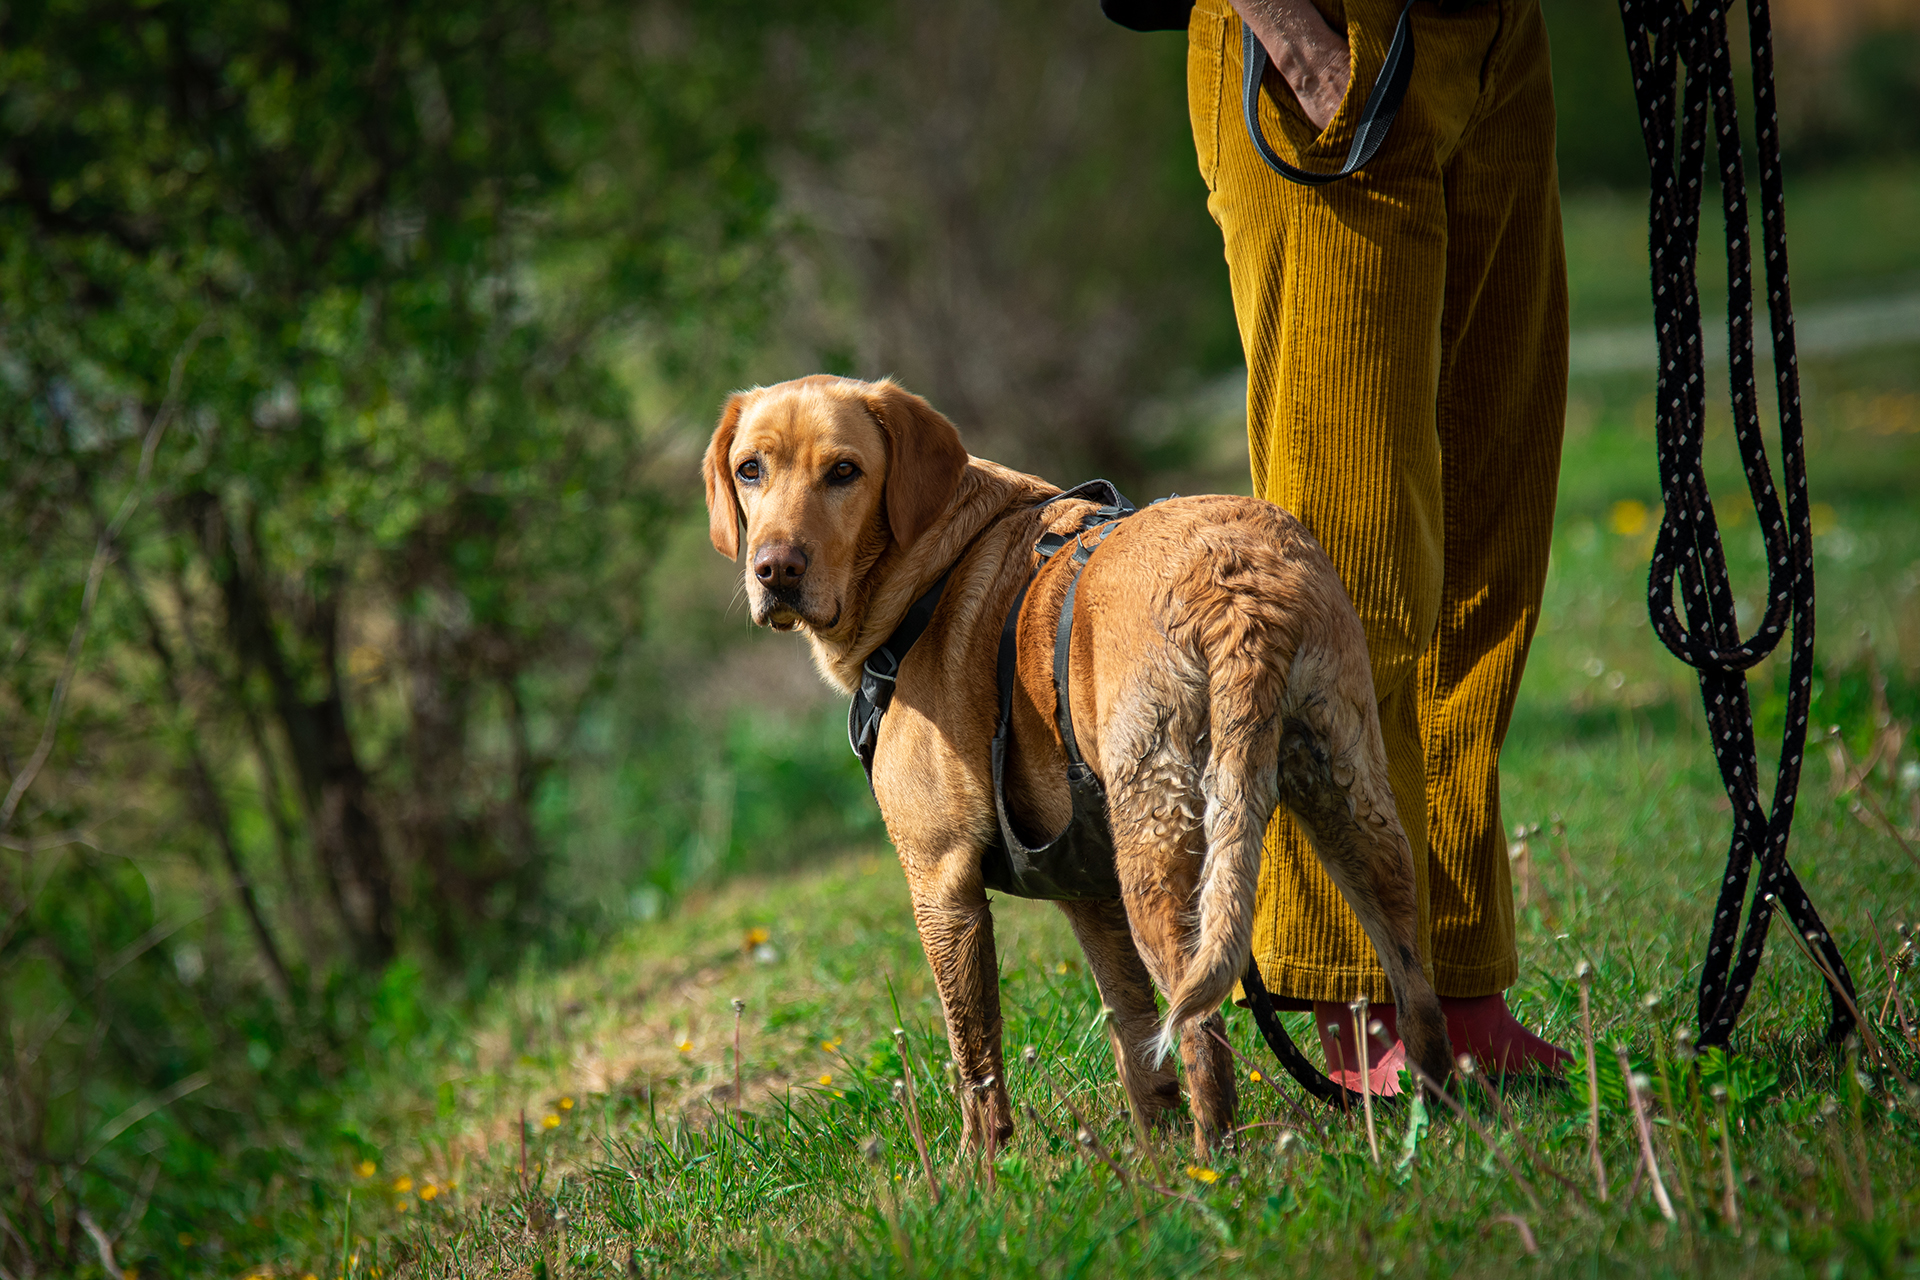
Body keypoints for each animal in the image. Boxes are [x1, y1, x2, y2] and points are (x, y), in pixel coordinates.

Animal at [702, 376, 1443, 1159]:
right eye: (750, 470)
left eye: (844, 471)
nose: (775, 570)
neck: (931, 565)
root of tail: (1237, 592)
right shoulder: (1090, 894)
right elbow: (1134, 1038)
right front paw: (1152, 1151)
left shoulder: (941, 884)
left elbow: (976, 1062)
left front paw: (980, 1172)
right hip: (1353, 806)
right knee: (1415, 990)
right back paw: (1442, 1119)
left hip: (1160, 849)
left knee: (1202, 1036)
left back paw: (1215, 1170)